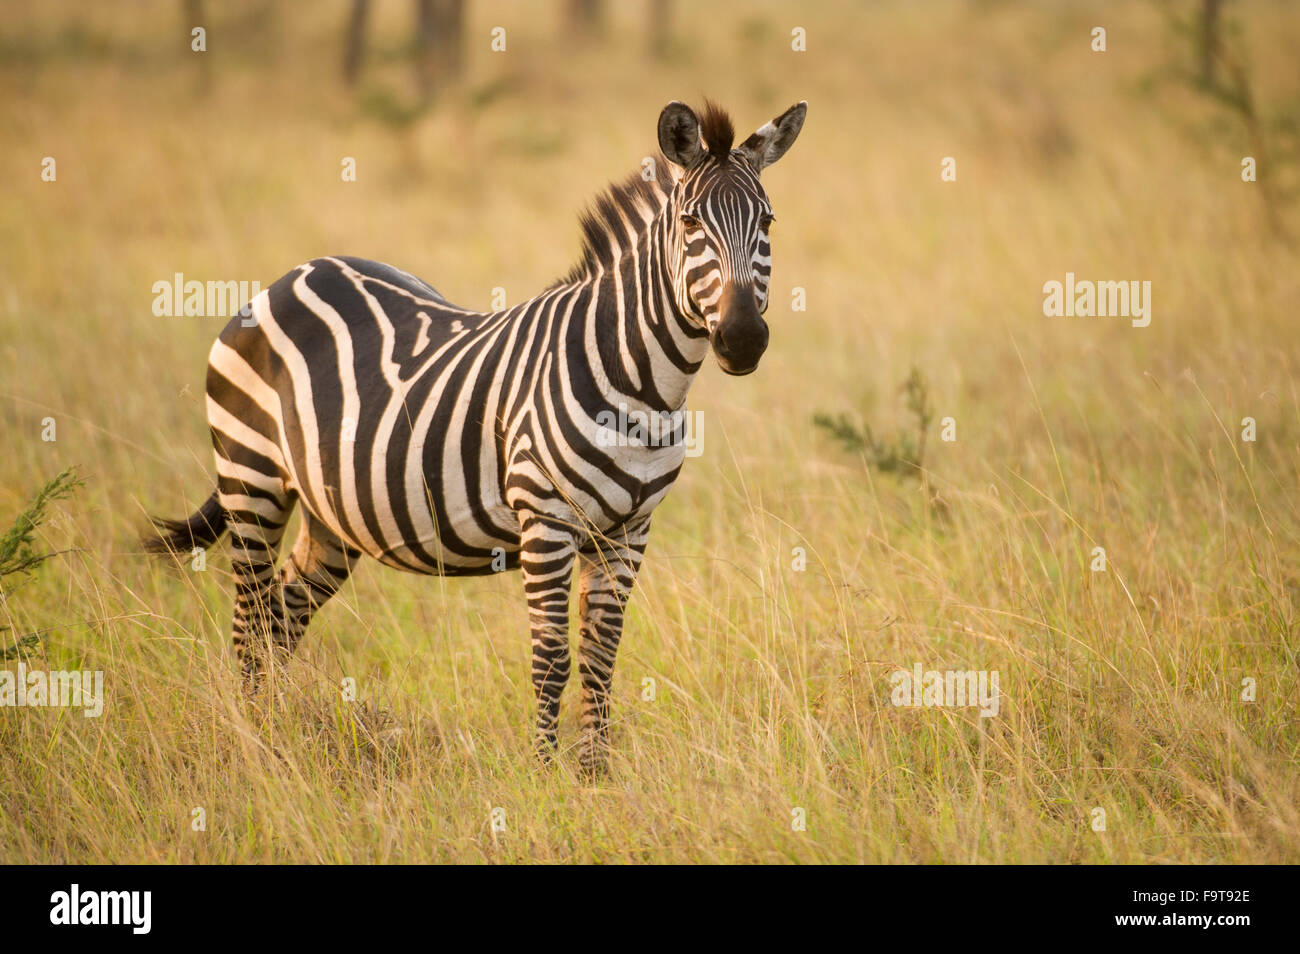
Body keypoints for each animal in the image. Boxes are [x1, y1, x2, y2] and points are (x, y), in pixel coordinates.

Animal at [145, 98, 807, 774]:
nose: (742, 340)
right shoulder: (546, 520)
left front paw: (595, 777)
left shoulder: (628, 531)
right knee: (249, 621)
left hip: (331, 512)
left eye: (768, 222)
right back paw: (254, 747)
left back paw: (276, 737)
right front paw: (544, 778)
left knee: (283, 614)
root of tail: (292, 275)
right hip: (251, 480)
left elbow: (601, 658)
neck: (643, 388)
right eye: (692, 222)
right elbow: (553, 659)